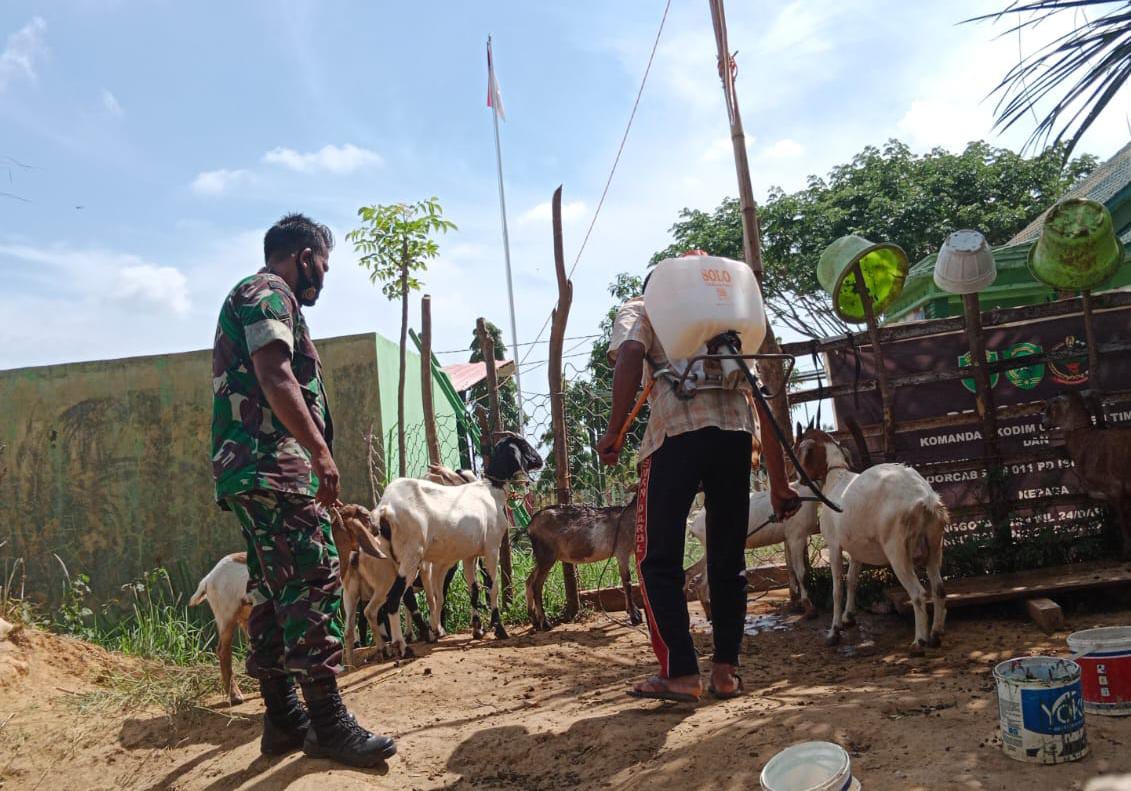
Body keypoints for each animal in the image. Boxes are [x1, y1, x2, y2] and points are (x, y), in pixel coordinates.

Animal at [375, 432, 542, 642]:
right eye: (524, 445)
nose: (540, 460)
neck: (491, 489)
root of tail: (385, 509)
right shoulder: (491, 547)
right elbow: (492, 586)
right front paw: (499, 628)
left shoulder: (470, 555)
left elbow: (474, 588)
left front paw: (477, 629)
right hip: (411, 557)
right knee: (395, 599)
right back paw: (406, 642)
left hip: (395, 559)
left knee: (403, 599)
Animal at [683, 482, 818, 620]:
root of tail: (694, 525)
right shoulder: (797, 537)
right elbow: (801, 572)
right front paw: (809, 609)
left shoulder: (790, 538)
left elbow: (790, 569)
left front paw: (796, 603)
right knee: (702, 580)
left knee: (692, 575)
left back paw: (708, 613)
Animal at [800, 430, 950, 651]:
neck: (836, 481)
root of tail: (925, 498)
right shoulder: (856, 549)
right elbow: (852, 580)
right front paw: (849, 618)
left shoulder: (834, 545)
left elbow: (837, 588)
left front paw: (834, 632)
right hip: (934, 545)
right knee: (939, 589)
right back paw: (936, 634)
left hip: (897, 550)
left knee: (918, 593)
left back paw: (918, 642)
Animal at [1040, 393, 1131, 559]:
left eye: (1054, 403)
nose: (1043, 423)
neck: (1087, 442)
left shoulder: (1115, 489)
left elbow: (1123, 520)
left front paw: (1127, 551)